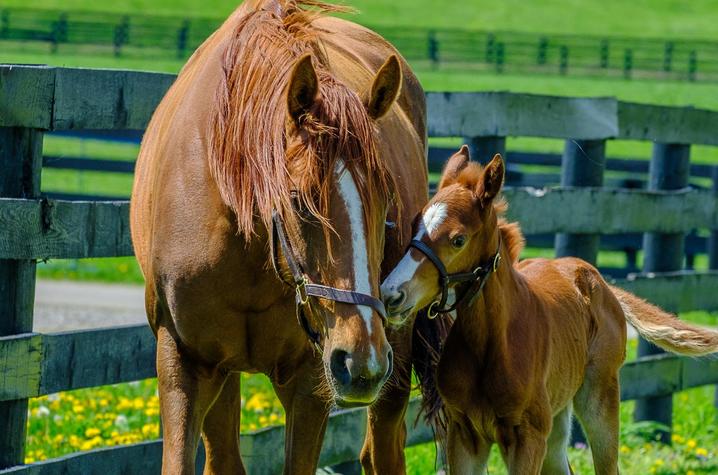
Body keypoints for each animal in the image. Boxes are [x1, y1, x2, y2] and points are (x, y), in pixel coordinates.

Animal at [130, 1, 428, 473]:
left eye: (387, 205)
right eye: (298, 200)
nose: (359, 359)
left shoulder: (309, 379)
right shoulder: (185, 363)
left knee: (383, 449)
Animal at [381, 146, 718, 474]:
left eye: (458, 239)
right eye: (413, 225)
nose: (391, 293)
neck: (492, 344)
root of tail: (596, 278)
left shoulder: (527, 437)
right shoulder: (464, 434)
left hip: (600, 398)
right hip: (556, 422)